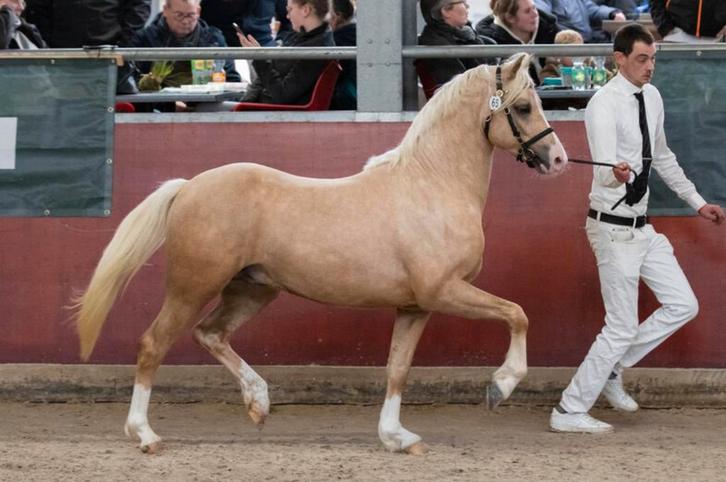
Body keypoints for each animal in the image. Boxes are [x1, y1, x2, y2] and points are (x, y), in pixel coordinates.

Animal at [74, 53, 568, 455]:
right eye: (523, 107)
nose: (558, 159)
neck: (431, 184)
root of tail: (188, 186)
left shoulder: (415, 306)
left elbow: (397, 369)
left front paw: (397, 437)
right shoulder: (444, 291)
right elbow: (517, 314)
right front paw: (500, 387)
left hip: (252, 290)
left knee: (210, 334)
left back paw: (259, 402)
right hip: (192, 286)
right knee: (153, 344)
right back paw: (145, 435)